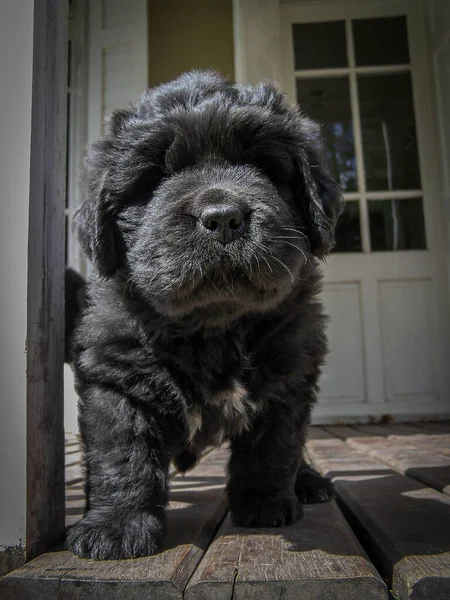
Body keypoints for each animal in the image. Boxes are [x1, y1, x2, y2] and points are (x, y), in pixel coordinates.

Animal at [67, 71, 342, 564]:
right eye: (155, 178)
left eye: (263, 166)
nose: (223, 216)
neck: (213, 327)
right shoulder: (114, 379)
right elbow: (122, 454)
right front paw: (116, 526)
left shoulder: (289, 378)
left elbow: (275, 447)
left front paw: (265, 504)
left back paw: (307, 484)